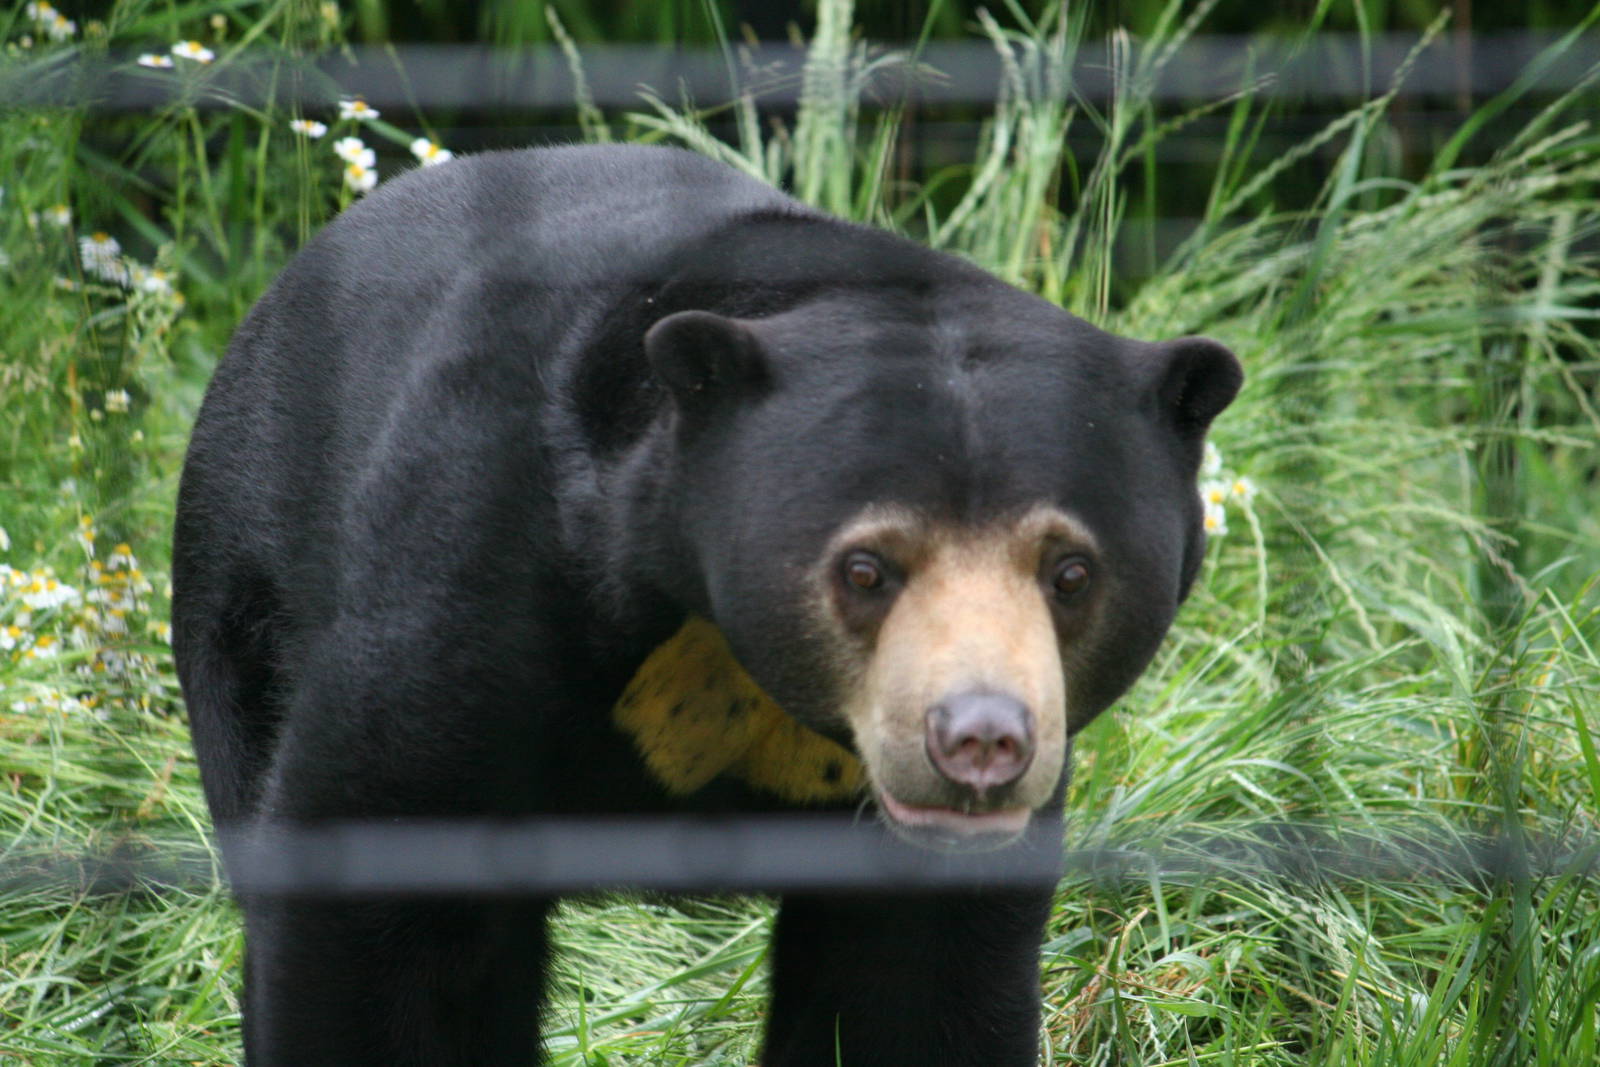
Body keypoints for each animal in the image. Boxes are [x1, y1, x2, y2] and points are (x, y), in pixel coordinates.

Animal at [171, 143, 1241, 1066]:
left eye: (1070, 572)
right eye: (865, 569)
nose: (979, 741)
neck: (715, 639)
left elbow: (913, 980)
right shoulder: (472, 567)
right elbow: (380, 904)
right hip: (243, 603)